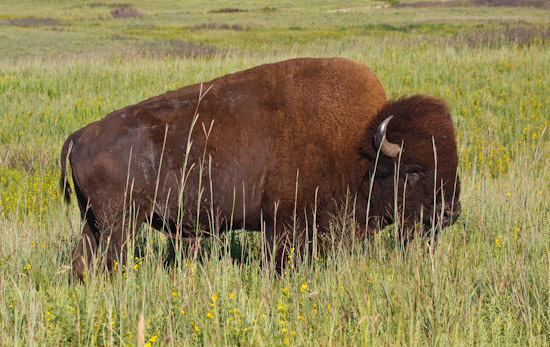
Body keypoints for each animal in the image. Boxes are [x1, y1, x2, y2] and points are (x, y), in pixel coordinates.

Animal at [61, 57, 462, 280]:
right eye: (413, 169)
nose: (449, 213)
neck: (359, 151)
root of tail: (79, 135)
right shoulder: (283, 224)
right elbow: (280, 263)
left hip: (93, 223)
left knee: (83, 261)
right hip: (121, 224)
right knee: (110, 261)